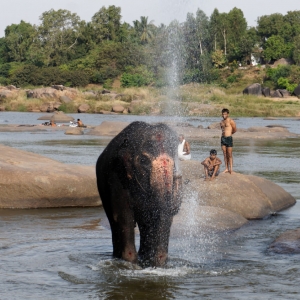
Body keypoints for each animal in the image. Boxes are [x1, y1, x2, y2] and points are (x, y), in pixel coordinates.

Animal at [96, 122, 182, 268]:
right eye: (143, 160)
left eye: (174, 163)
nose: (178, 177)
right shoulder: (117, 176)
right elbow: (124, 216)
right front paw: (130, 263)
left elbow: (162, 218)